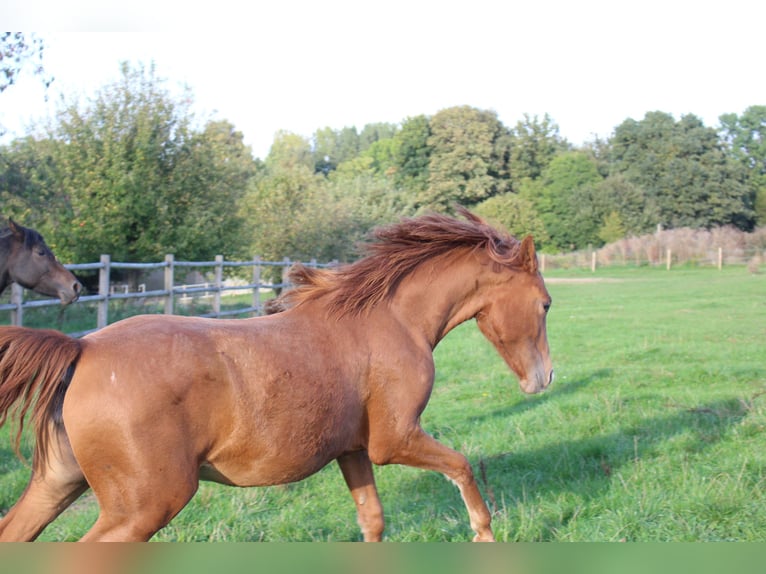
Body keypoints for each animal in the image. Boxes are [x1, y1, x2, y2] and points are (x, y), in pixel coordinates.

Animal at [0, 208, 553, 542]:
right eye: (546, 303)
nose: (544, 378)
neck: (392, 320)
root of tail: (82, 347)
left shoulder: (354, 451)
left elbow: (373, 522)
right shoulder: (394, 440)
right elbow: (462, 468)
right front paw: (484, 535)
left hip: (58, 484)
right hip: (143, 508)